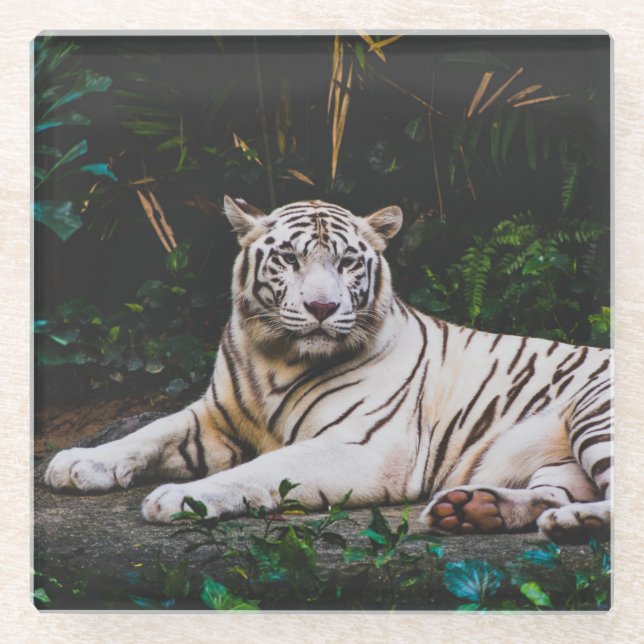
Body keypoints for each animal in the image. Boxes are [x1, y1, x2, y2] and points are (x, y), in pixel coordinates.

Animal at [44, 197, 613, 542]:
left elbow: (260, 470)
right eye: (289, 259)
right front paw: (77, 462)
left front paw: (181, 498)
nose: (321, 307)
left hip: (594, 412)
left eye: (347, 263)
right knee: (552, 491)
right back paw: (474, 510)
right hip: (558, 461)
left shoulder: (364, 447)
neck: (275, 357)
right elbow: (150, 431)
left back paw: (574, 522)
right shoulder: (215, 417)